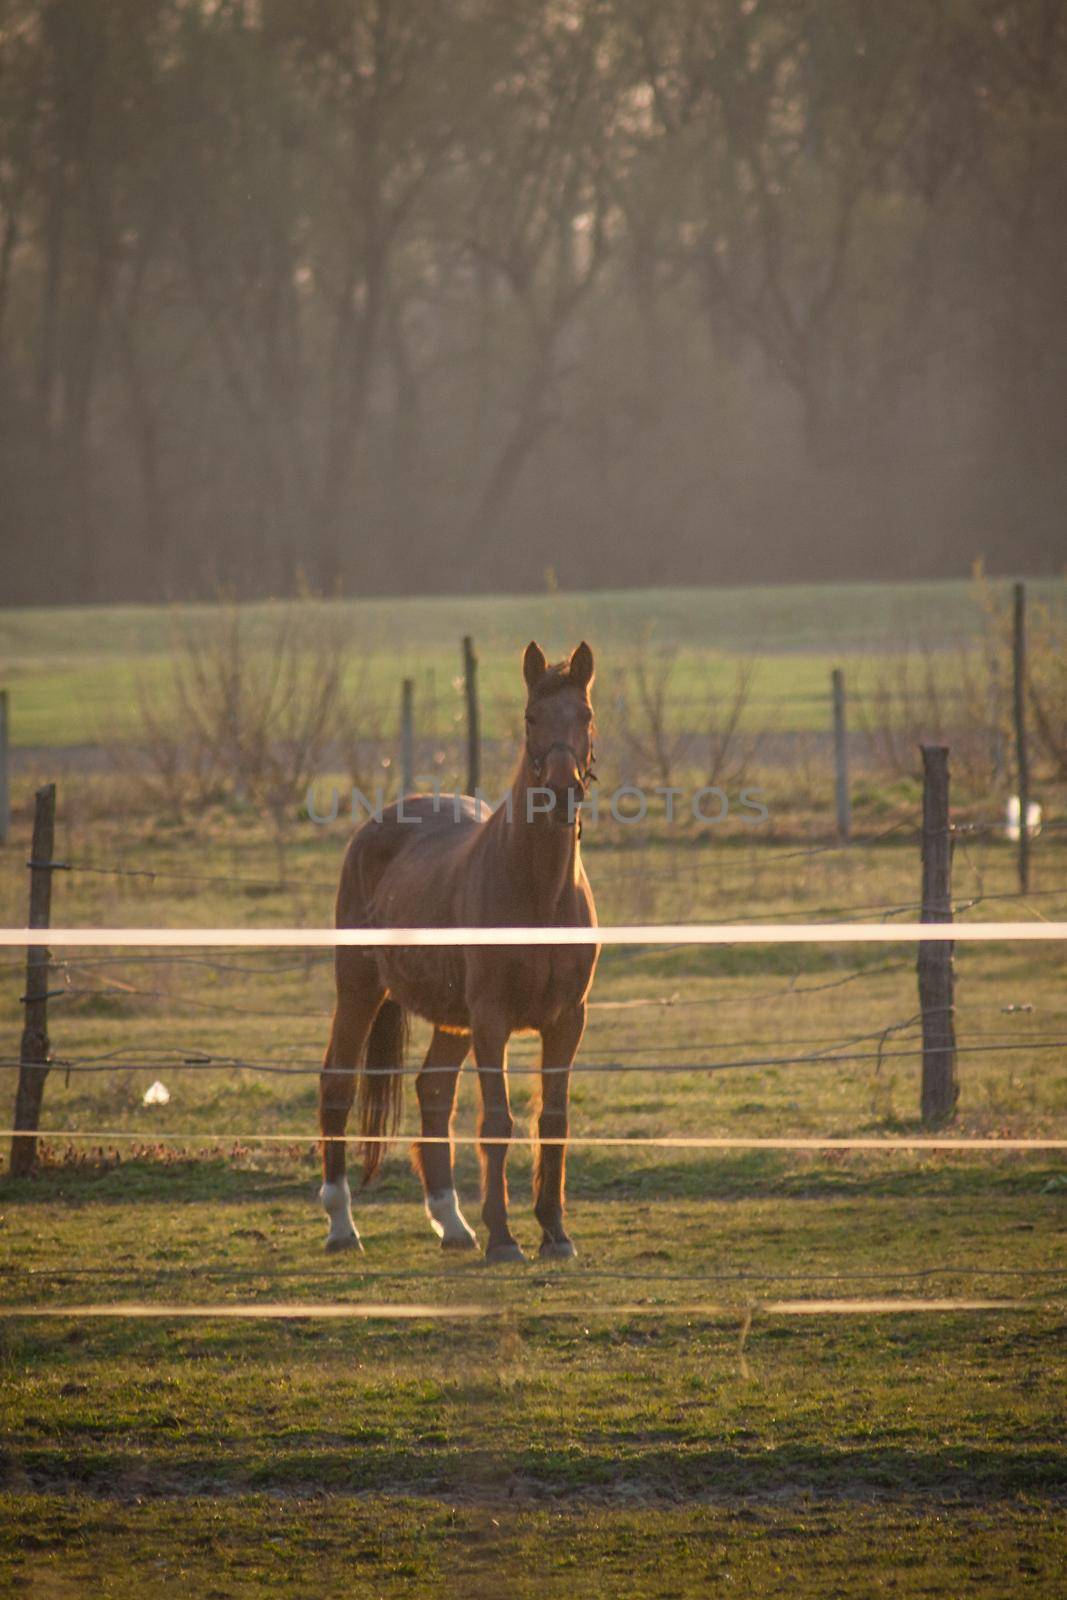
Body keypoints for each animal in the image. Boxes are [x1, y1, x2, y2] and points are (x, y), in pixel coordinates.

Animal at [316, 636, 601, 1260]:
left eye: (586, 715)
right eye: (531, 717)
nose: (562, 791)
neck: (538, 891)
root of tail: (377, 824)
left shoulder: (567, 1021)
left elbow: (554, 1121)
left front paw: (554, 1233)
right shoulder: (492, 1018)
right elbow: (496, 1122)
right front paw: (505, 1238)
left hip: (452, 1020)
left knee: (432, 1090)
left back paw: (452, 1223)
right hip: (358, 990)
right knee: (337, 1085)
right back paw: (342, 1225)